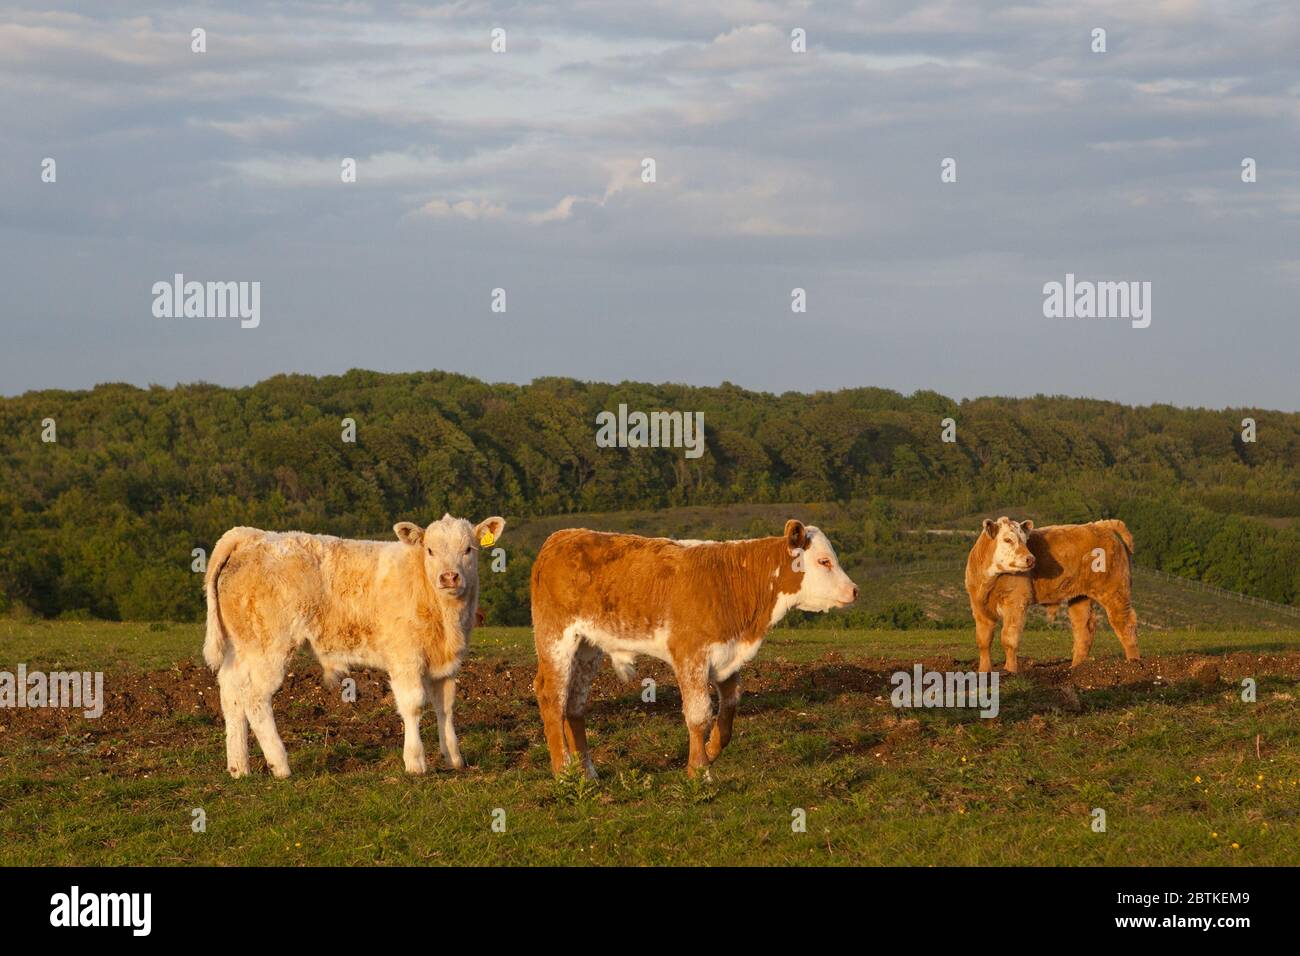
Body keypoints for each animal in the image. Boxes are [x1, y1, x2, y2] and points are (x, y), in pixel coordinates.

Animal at [205, 515, 504, 780]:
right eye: (430, 550)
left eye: (468, 549)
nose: (449, 577)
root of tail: (252, 535)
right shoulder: (406, 659)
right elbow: (413, 706)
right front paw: (415, 762)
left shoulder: (446, 665)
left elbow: (446, 707)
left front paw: (454, 757)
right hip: (269, 647)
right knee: (255, 698)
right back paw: (280, 765)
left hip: (242, 647)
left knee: (231, 691)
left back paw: (239, 767)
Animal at [530, 522, 863, 780]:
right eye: (824, 561)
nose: (855, 590)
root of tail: (561, 537)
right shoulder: (690, 654)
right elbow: (699, 714)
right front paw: (700, 770)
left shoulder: (727, 655)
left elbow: (730, 706)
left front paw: (712, 750)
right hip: (556, 638)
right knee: (552, 696)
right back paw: (563, 772)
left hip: (588, 646)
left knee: (575, 704)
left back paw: (587, 772)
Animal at [967, 515, 1138, 671]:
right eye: (1007, 539)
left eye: (1025, 540)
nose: (1030, 559)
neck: (988, 581)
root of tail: (1100, 525)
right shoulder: (978, 607)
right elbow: (983, 641)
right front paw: (983, 671)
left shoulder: (1016, 602)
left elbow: (1009, 638)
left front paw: (1010, 671)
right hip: (1080, 597)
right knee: (1083, 629)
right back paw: (1076, 668)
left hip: (1114, 590)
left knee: (1125, 623)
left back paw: (1133, 663)